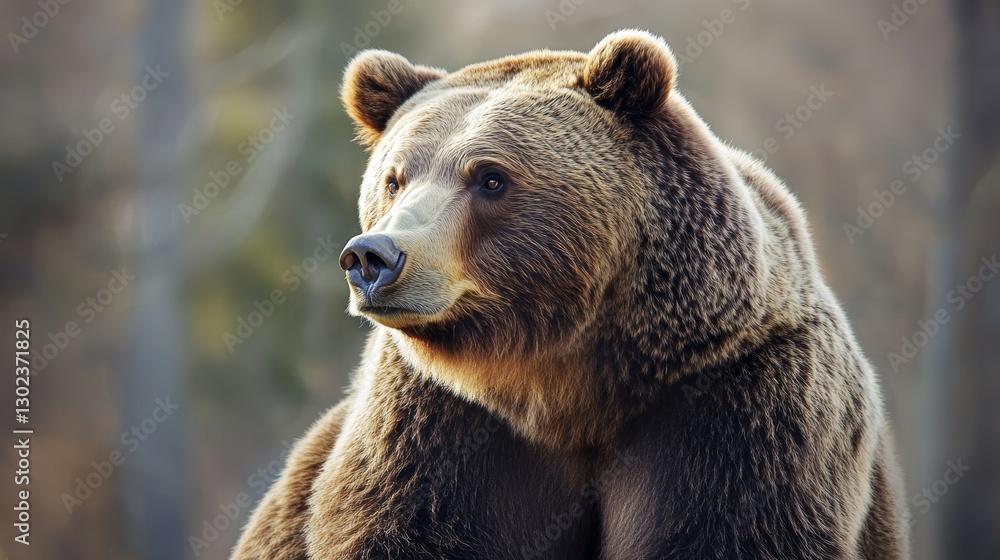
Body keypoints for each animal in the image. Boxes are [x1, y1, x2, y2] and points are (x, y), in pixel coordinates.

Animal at [231, 29, 909, 559]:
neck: (567, 382)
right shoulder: (435, 424)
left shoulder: (740, 406)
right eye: (395, 179)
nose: (373, 258)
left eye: (490, 178)